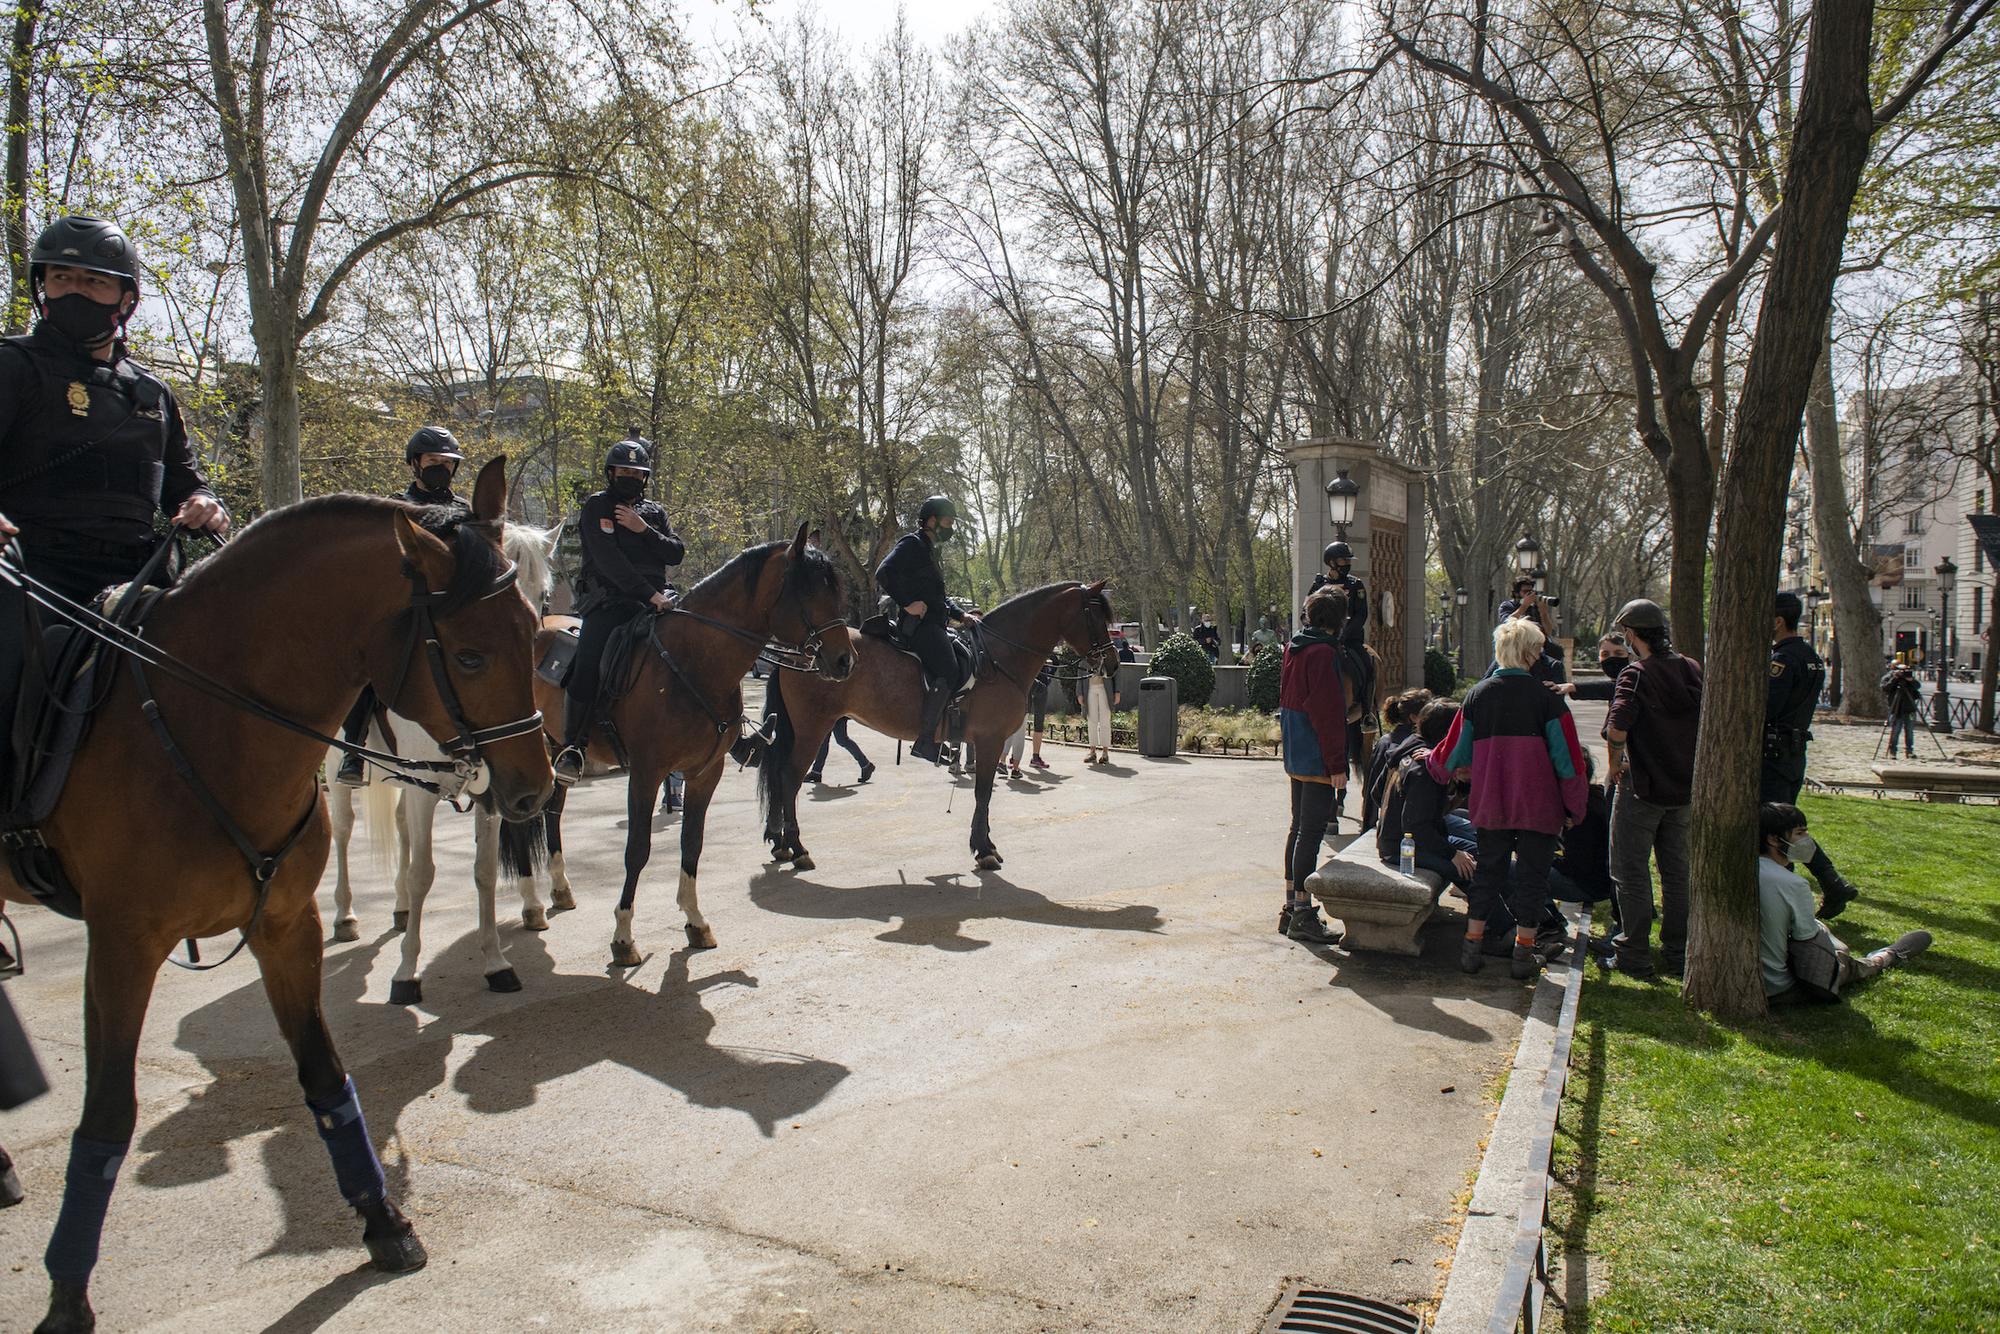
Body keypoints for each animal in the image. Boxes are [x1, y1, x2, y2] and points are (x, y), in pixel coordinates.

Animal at [324, 520, 568, 1000]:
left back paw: (400, 909)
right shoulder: (428, 793)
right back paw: (345, 916)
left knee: (400, 826)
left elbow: (485, 871)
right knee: (342, 831)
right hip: (336, 766)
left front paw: (495, 962)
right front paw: (407, 973)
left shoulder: (491, 795)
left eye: (542, 596)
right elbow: (423, 873)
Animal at [528, 524, 848, 972]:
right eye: (809, 590)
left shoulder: (704, 772)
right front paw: (623, 936)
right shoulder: (647, 774)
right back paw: (531, 906)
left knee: (552, 813)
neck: (693, 662)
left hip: (556, 748)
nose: (845, 661)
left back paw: (559, 888)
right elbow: (637, 850)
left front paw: (695, 921)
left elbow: (691, 843)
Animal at [756, 580, 1120, 872]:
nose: (1114, 662)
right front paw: (984, 849)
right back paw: (797, 847)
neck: (998, 657)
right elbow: (983, 792)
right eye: (1096, 617)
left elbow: (984, 792)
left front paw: (985, 844)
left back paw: (780, 843)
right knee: (789, 777)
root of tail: (801, 650)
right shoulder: (989, 740)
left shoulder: (988, 742)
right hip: (812, 727)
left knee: (779, 775)